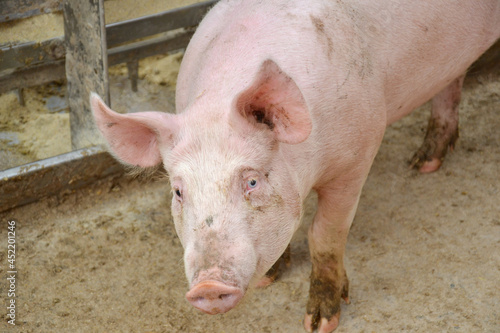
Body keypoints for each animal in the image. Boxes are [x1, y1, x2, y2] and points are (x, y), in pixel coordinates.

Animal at [90, 0, 500, 330]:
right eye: (178, 191)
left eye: (252, 182)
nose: (208, 285)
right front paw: (270, 277)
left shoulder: (358, 156)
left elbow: (324, 235)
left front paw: (320, 323)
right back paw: (423, 163)